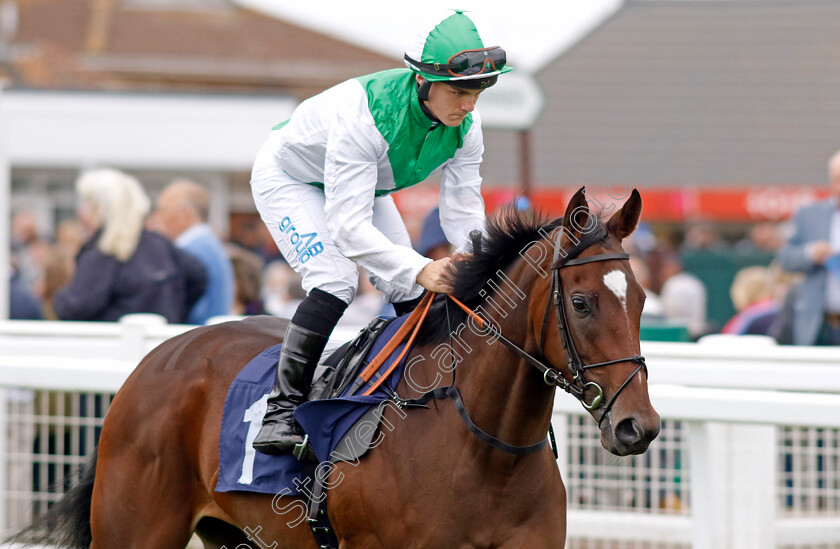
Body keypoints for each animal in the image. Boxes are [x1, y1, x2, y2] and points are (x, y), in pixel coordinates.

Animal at [9, 186, 660, 544]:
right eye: (581, 302)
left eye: (640, 298)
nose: (640, 426)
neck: (486, 451)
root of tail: (155, 360)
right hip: (136, 528)